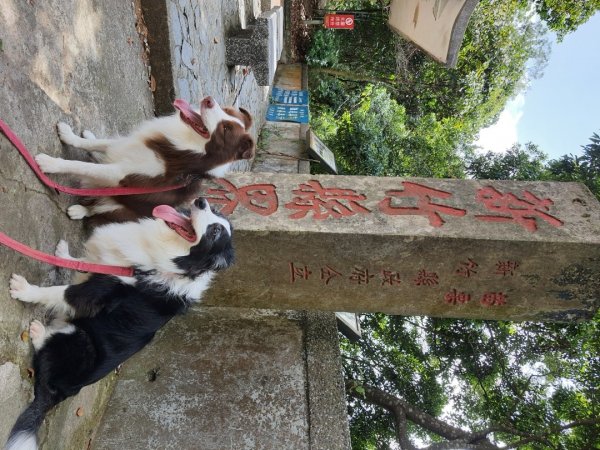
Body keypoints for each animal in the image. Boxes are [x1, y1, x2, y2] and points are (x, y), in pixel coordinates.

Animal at [4, 198, 234, 450]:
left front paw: (24, 289)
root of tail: (57, 395)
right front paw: (64, 253)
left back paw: (37, 331)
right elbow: (81, 263)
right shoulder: (103, 265)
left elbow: (58, 292)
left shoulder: (95, 294)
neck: (172, 262)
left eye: (215, 232)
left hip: (82, 339)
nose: (201, 201)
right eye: (215, 211)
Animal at [34, 98, 255, 225]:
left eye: (225, 129)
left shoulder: (122, 175)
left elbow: (83, 166)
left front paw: (49, 163)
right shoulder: (128, 146)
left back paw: (80, 210)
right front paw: (69, 136)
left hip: (117, 209)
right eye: (227, 110)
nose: (209, 100)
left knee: (96, 209)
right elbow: (96, 144)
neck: (190, 148)